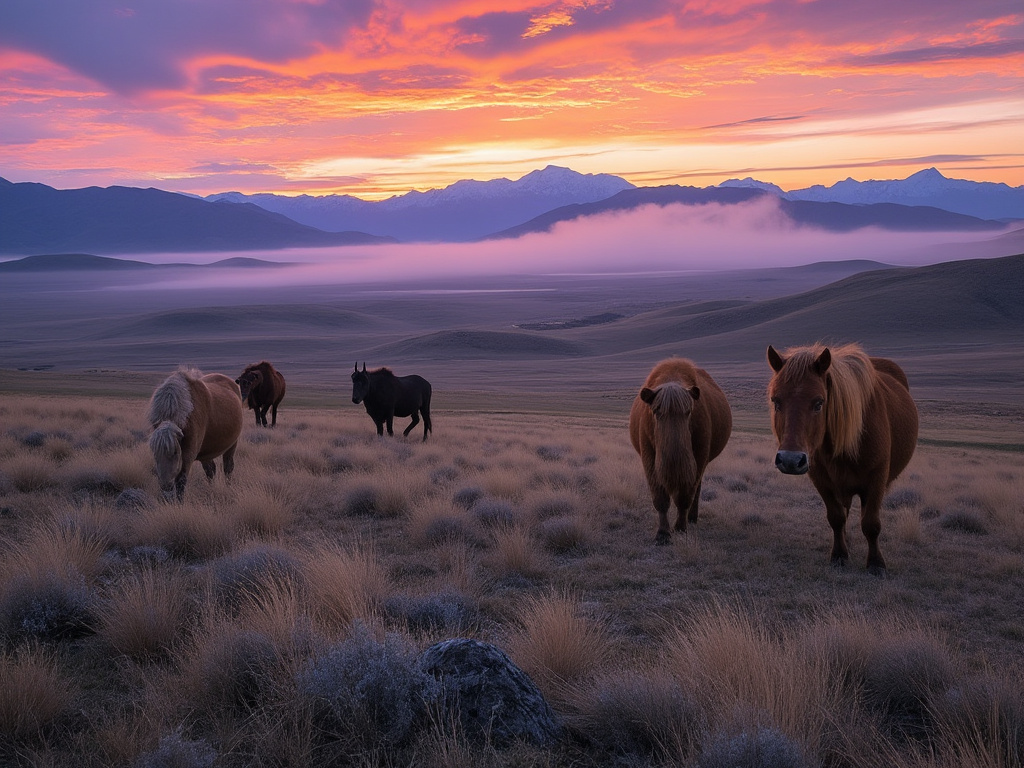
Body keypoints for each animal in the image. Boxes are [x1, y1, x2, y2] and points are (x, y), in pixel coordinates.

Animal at [147, 368, 242, 501]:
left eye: (175, 452)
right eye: (154, 452)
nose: (165, 485)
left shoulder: (188, 456)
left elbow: (181, 481)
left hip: (232, 445)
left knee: (228, 468)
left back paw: (228, 486)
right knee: (211, 470)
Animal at [626, 358, 733, 544]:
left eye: (688, 411)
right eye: (656, 411)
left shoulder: (698, 458)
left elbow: (684, 496)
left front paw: (681, 527)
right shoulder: (649, 457)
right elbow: (660, 498)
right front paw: (663, 532)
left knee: (696, 490)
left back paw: (692, 517)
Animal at [770, 342, 921, 573]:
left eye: (819, 403)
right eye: (776, 401)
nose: (790, 460)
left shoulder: (877, 480)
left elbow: (871, 523)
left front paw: (876, 563)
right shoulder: (822, 481)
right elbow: (836, 518)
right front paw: (840, 555)